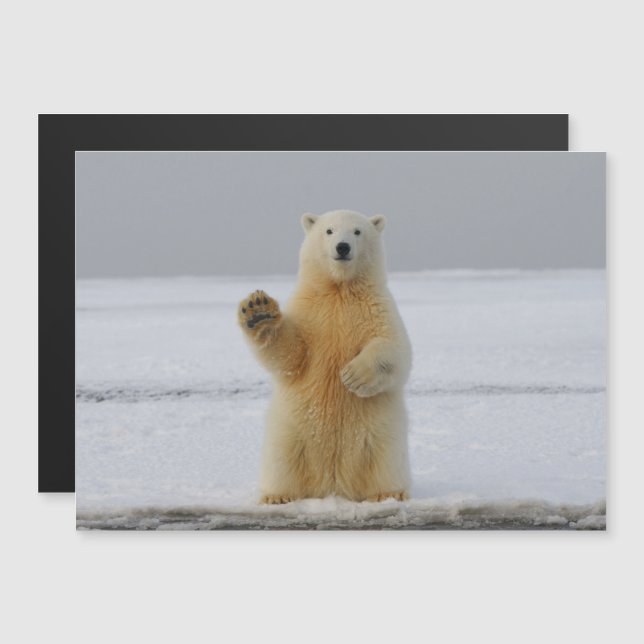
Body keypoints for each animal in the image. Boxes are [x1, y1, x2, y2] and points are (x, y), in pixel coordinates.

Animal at [238, 209, 412, 504]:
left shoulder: (377, 308)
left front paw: (353, 376)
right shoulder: (310, 312)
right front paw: (259, 312)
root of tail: (333, 485)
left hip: (381, 434)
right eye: (329, 231)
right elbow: (292, 355)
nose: (342, 247)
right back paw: (277, 496)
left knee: (385, 460)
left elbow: (395, 348)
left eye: (357, 231)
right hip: (290, 431)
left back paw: (388, 493)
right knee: (281, 460)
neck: (339, 289)